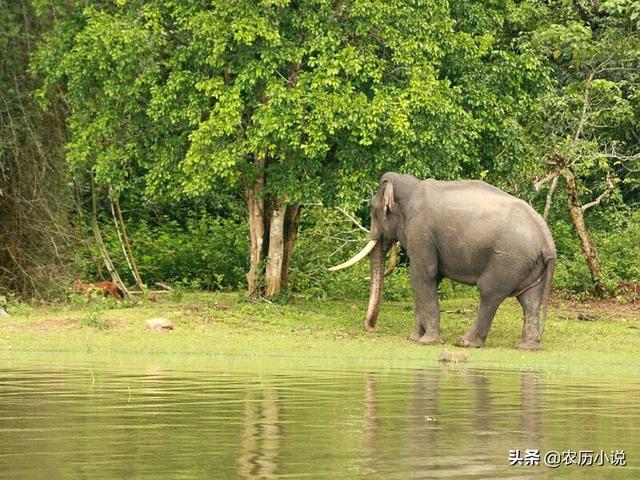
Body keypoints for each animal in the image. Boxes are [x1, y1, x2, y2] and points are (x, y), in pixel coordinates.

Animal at [330, 172, 556, 348]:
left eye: (372, 210)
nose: (373, 329)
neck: (412, 185)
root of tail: (547, 240)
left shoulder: (421, 230)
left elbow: (422, 275)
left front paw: (427, 341)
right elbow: (431, 279)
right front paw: (414, 338)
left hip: (508, 259)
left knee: (490, 293)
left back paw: (465, 342)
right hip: (530, 264)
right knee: (529, 299)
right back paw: (526, 346)